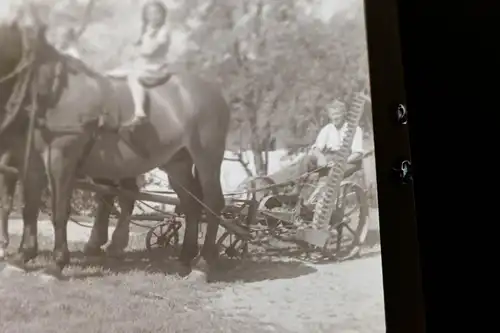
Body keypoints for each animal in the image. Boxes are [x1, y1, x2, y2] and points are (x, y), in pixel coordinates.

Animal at [0, 17, 229, 278]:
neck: (51, 90)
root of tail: (215, 92)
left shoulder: (60, 159)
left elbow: (59, 210)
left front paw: (57, 263)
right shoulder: (32, 162)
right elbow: (29, 208)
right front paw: (23, 256)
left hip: (207, 157)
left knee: (212, 202)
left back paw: (203, 263)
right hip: (177, 163)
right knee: (191, 204)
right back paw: (184, 258)